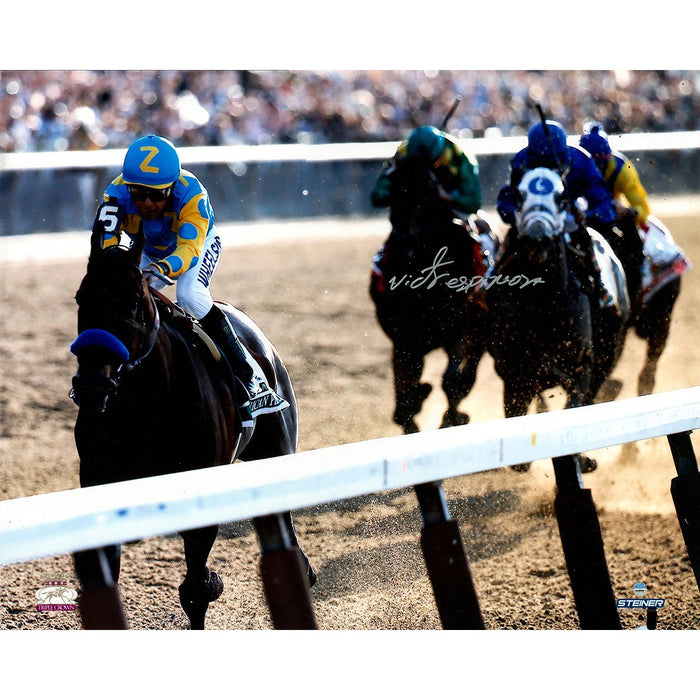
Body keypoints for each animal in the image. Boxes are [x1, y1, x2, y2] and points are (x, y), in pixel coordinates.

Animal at [69, 232, 314, 632]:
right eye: (81, 298)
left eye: (133, 301)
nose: (91, 386)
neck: (146, 404)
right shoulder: (97, 480)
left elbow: (196, 590)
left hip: (276, 447)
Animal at [370, 156, 494, 434]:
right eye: (393, 198)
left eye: (426, 199)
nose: (404, 249)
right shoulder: (405, 340)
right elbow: (403, 396)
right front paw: (416, 402)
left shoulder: (461, 330)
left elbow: (451, 380)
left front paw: (452, 416)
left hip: (480, 335)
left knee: (467, 374)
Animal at [486, 168, 628, 470]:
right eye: (519, 195)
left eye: (562, 197)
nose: (537, 236)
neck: (543, 309)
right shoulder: (513, 371)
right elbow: (515, 410)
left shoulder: (582, 367)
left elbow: (576, 404)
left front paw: (581, 459)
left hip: (609, 351)